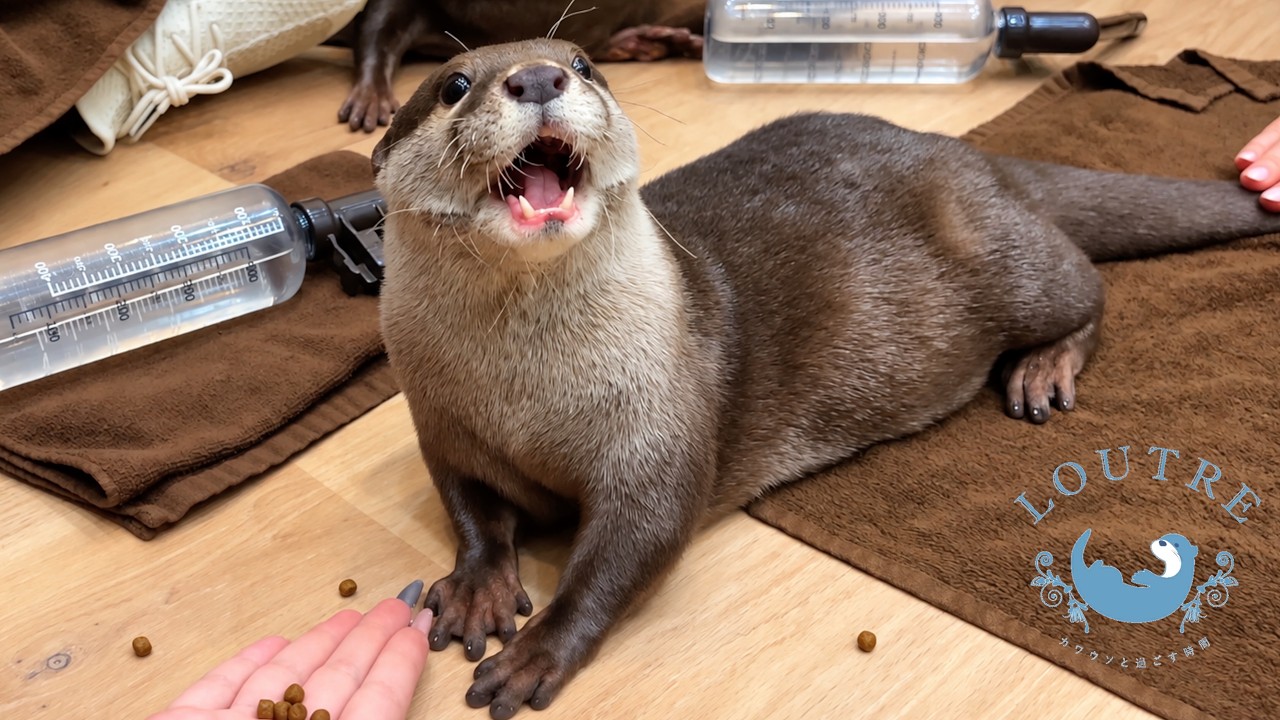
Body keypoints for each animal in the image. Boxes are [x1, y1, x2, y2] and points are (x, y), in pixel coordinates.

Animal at [370, 38, 1280, 719]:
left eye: (585, 64)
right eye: (454, 85)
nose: (538, 76)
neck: (526, 395)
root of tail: (976, 158)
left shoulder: (660, 423)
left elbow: (636, 539)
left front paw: (538, 651)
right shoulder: (441, 418)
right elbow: (469, 503)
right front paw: (479, 585)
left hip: (1012, 261)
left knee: (1088, 288)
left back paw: (1044, 367)